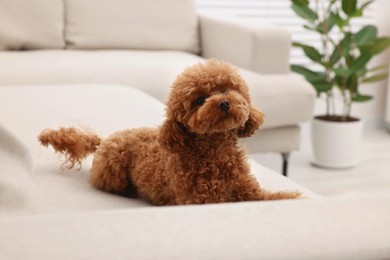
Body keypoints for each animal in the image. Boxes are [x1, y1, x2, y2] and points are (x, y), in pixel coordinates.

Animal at [38, 60, 302, 204]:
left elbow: (278, 198)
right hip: (112, 171)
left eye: (228, 89)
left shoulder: (251, 193)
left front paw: (296, 197)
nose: (224, 102)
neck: (216, 152)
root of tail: (105, 139)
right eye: (200, 100)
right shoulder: (202, 200)